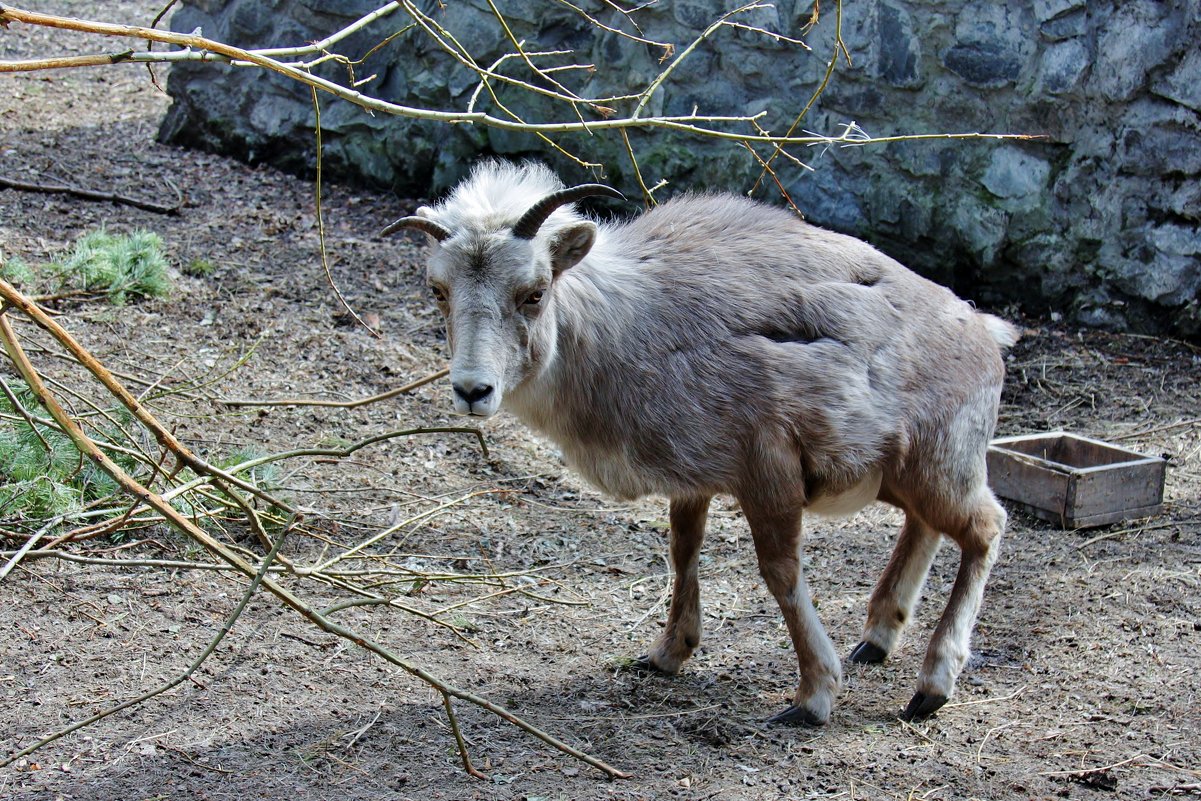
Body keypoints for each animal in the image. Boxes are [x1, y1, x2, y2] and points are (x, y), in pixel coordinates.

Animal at [381, 159, 1013, 725]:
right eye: (438, 290)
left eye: (534, 292)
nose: (472, 390)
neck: (633, 333)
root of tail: (986, 334)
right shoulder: (695, 479)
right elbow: (683, 550)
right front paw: (666, 655)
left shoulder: (766, 469)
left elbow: (780, 573)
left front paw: (813, 698)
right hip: (902, 475)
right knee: (925, 526)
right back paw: (877, 640)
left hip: (943, 462)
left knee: (984, 528)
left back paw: (932, 686)